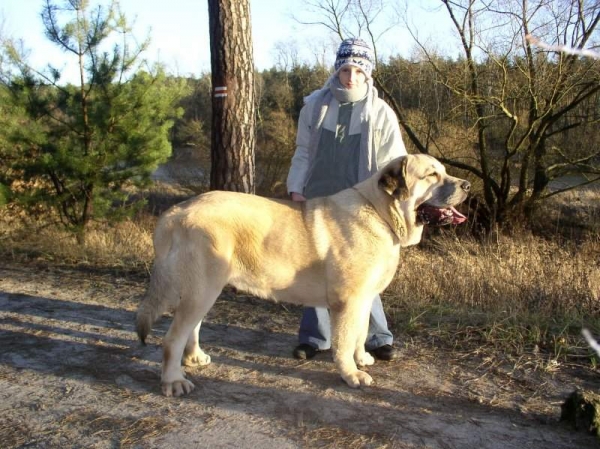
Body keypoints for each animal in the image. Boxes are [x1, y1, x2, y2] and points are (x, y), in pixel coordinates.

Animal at [138, 154, 472, 396]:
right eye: (432, 175)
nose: (468, 185)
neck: (380, 214)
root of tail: (177, 211)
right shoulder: (348, 301)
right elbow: (344, 340)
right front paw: (351, 373)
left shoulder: (364, 299)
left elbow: (361, 332)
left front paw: (361, 357)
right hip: (203, 287)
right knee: (172, 338)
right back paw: (173, 380)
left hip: (206, 288)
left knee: (191, 328)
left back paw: (194, 358)